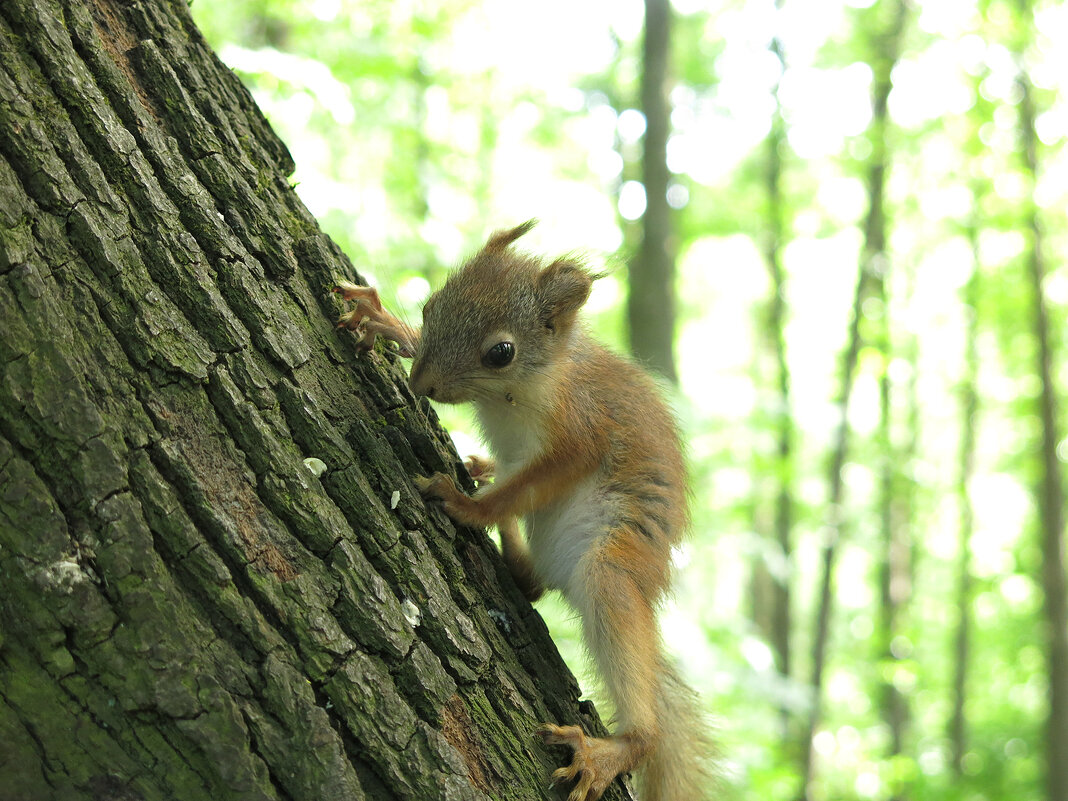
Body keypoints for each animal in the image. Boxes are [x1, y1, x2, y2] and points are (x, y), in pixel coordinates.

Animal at [333, 221, 709, 801]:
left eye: (501, 352)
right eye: (431, 306)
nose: (420, 386)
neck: (518, 390)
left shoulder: (577, 432)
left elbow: (531, 483)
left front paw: (465, 505)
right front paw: (382, 319)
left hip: (612, 567)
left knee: (640, 718)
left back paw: (610, 751)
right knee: (531, 584)